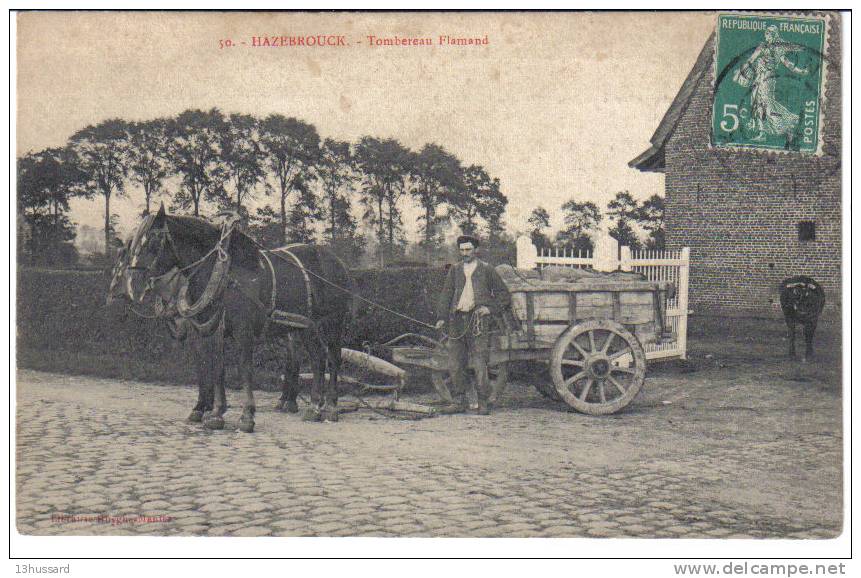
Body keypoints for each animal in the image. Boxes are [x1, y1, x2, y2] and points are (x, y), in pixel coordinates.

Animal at [106, 205, 352, 430]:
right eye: (131, 247)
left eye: (153, 242)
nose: (132, 285)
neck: (223, 273)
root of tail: (336, 261)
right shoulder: (207, 329)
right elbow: (213, 366)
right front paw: (212, 412)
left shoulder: (243, 330)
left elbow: (244, 368)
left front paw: (246, 415)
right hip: (303, 327)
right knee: (317, 359)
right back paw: (314, 406)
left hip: (332, 323)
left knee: (333, 359)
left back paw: (330, 407)